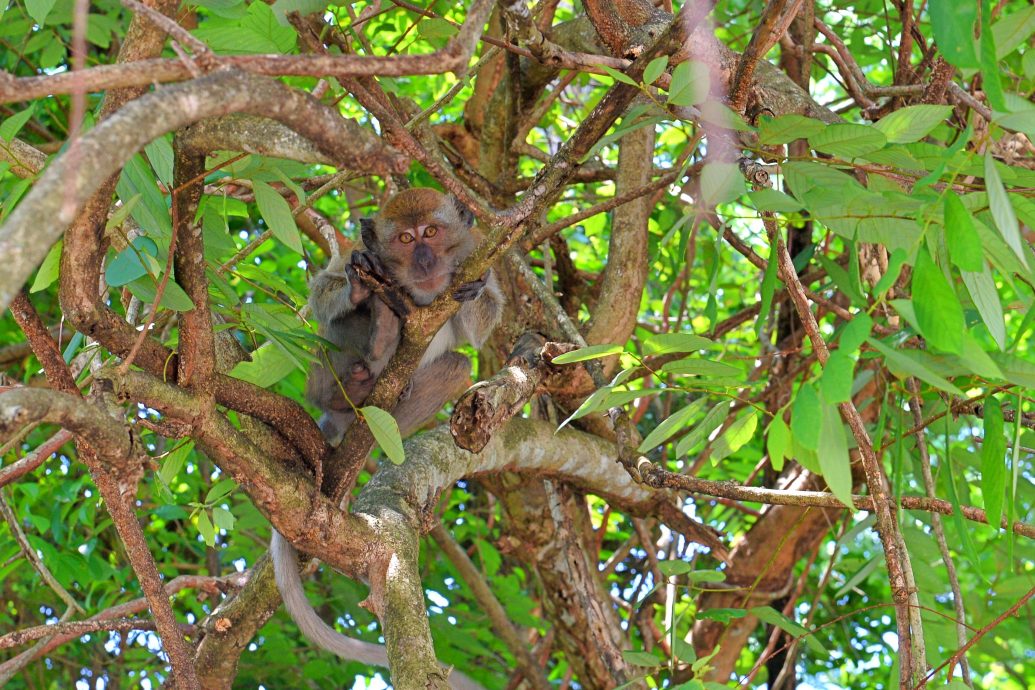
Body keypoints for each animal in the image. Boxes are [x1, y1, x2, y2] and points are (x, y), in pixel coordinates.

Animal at [273, 186, 503, 678]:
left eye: (432, 232)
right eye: (404, 239)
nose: (424, 260)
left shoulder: (478, 251)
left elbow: (482, 324)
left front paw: (473, 291)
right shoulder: (354, 257)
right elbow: (324, 292)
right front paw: (360, 291)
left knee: (457, 367)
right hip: (322, 374)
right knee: (337, 333)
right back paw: (375, 342)